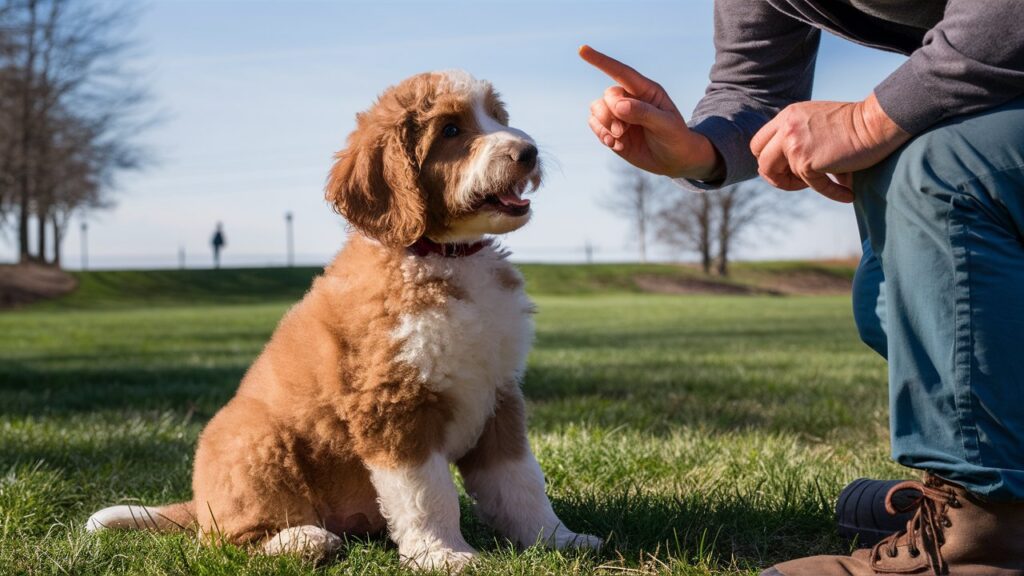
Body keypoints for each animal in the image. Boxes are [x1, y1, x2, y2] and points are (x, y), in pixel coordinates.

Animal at [90, 70, 598, 569]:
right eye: (451, 131)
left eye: (497, 117)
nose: (528, 151)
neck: (444, 256)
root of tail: (200, 502)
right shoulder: (394, 403)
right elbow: (427, 493)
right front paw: (444, 554)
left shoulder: (499, 393)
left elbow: (520, 480)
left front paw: (557, 538)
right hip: (257, 441)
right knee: (226, 540)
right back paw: (302, 541)